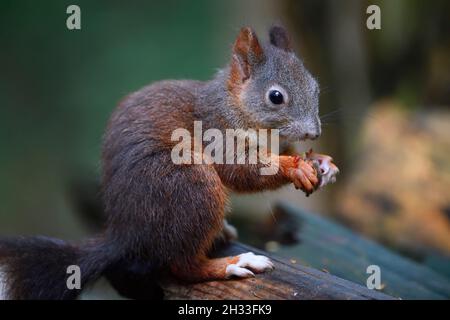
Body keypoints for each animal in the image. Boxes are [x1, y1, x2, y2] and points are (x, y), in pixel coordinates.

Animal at [0, 25, 338, 300]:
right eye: (276, 97)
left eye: (316, 87)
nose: (314, 132)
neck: (236, 106)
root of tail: (126, 235)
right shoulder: (216, 133)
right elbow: (241, 171)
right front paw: (295, 166)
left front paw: (322, 163)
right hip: (188, 183)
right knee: (184, 267)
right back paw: (232, 264)